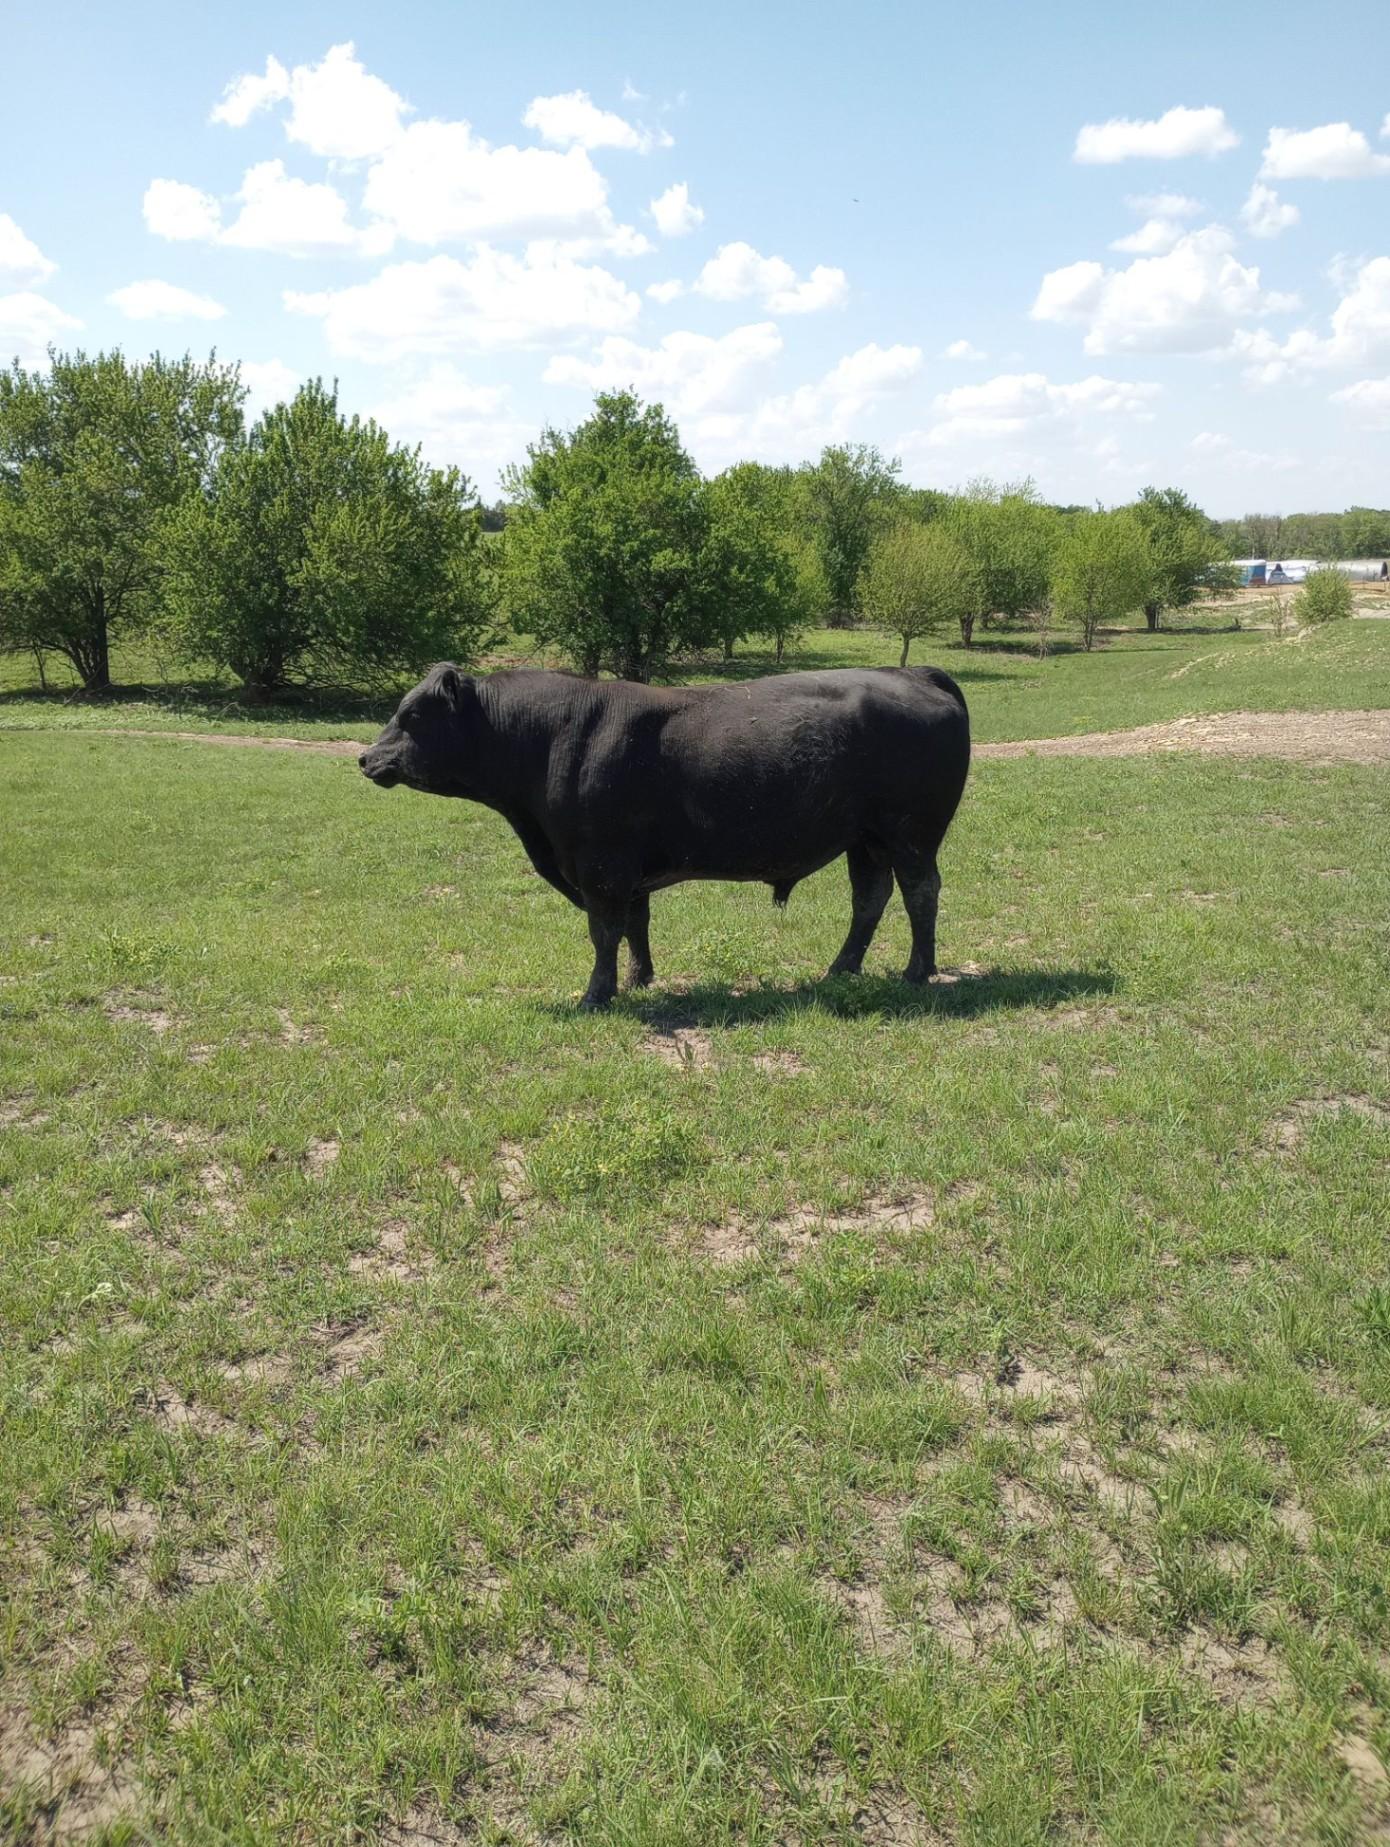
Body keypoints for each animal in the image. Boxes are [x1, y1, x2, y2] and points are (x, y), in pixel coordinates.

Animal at [359, 664, 971, 1009]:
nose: (365, 757)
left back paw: (917, 972)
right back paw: (840, 970)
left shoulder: (600, 866)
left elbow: (604, 931)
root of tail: (915, 674)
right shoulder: (623, 868)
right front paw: (638, 979)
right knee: (870, 899)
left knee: (920, 893)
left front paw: (596, 994)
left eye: (412, 715)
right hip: (864, 839)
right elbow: (635, 924)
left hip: (911, 835)